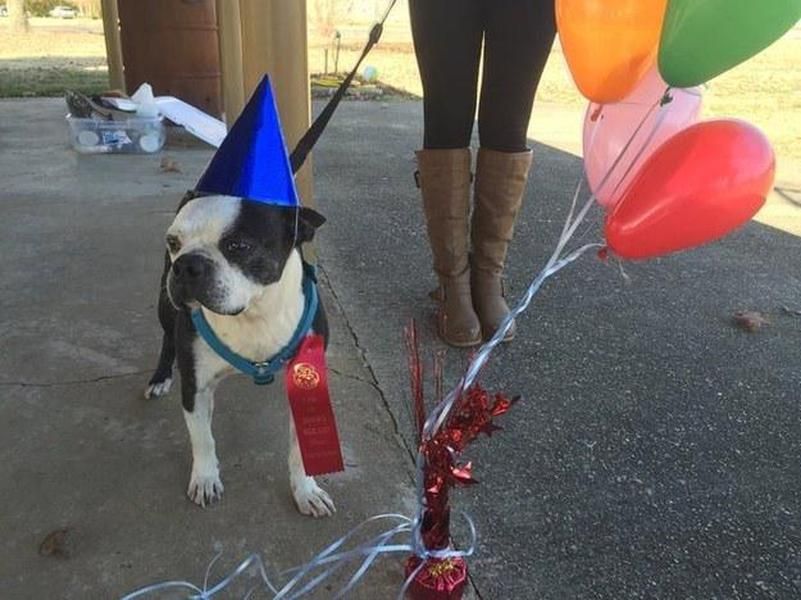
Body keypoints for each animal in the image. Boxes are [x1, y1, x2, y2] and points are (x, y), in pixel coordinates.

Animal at [142, 191, 332, 516]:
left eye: (239, 246)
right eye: (174, 242)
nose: (186, 264)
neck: (253, 313)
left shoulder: (307, 382)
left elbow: (299, 449)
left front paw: (306, 491)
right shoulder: (196, 387)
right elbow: (203, 439)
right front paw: (205, 479)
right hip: (166, 305)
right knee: (167, 338)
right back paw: (160, 378)